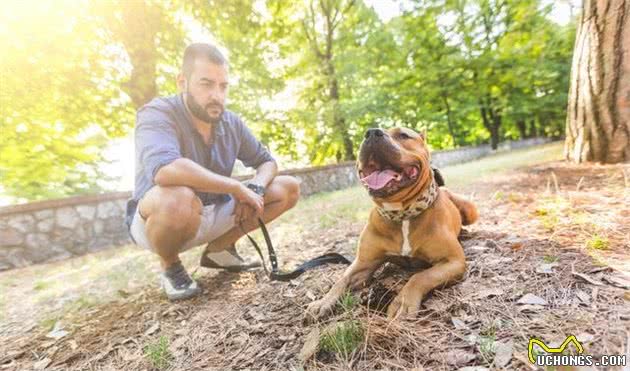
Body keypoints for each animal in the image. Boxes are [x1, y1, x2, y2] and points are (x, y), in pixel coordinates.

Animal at [306, 127, 478, 320]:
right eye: (365, 135)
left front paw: (403, 302)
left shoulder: (453, 261)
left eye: (403, 135)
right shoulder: (363, 263)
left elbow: (420, 277)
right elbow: (341, 280)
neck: (401, 213)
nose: (372, 132)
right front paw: (323, 302)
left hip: (470, 209)